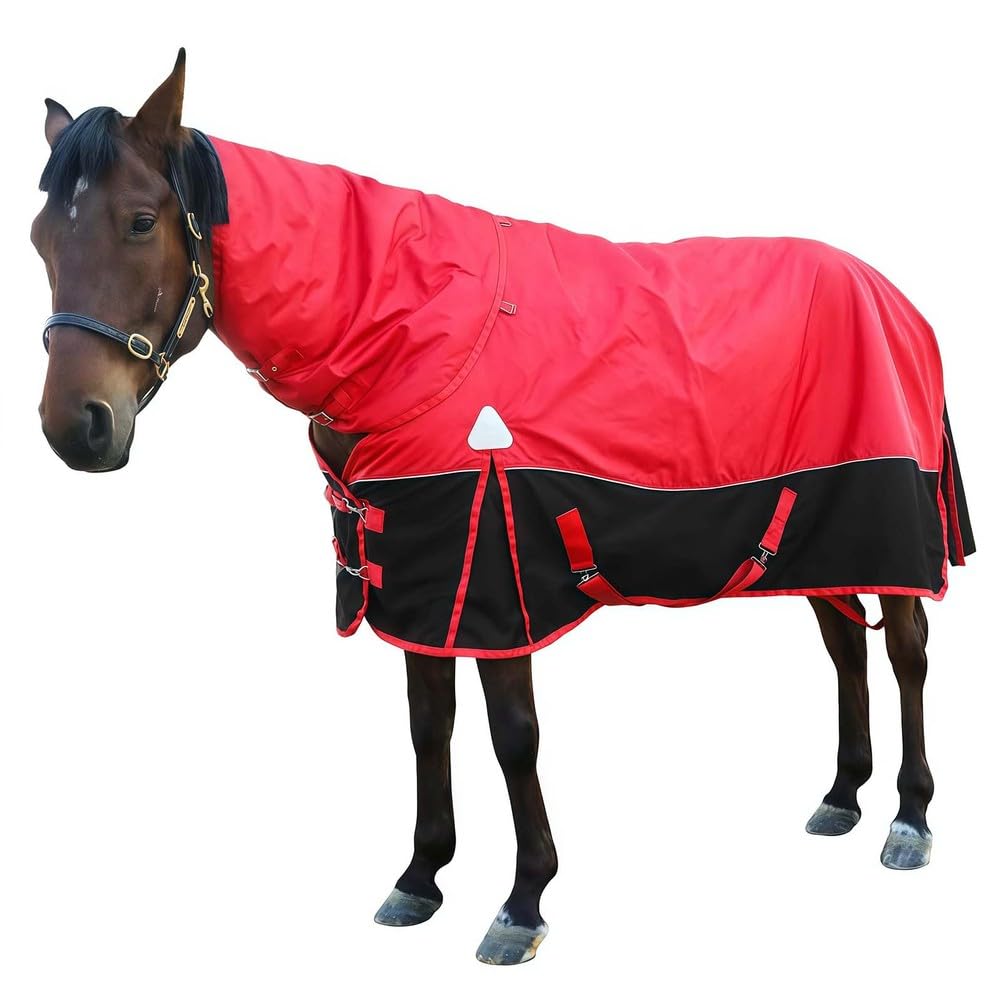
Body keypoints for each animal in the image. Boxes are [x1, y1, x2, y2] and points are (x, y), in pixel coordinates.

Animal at [32, 50, 974, 965]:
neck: (414, 327)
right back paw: (843, 796)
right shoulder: (416, 574)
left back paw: (908, 818)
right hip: (817, 537)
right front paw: (420, 878)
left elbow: (513, 736)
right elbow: (429, 726)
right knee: (845, 647)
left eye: (141, 221)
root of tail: (898, 300)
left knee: (906, 656)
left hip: (888, 527)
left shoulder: (493, 574)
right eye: (41, 238)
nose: (77, 427)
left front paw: (522, 902)